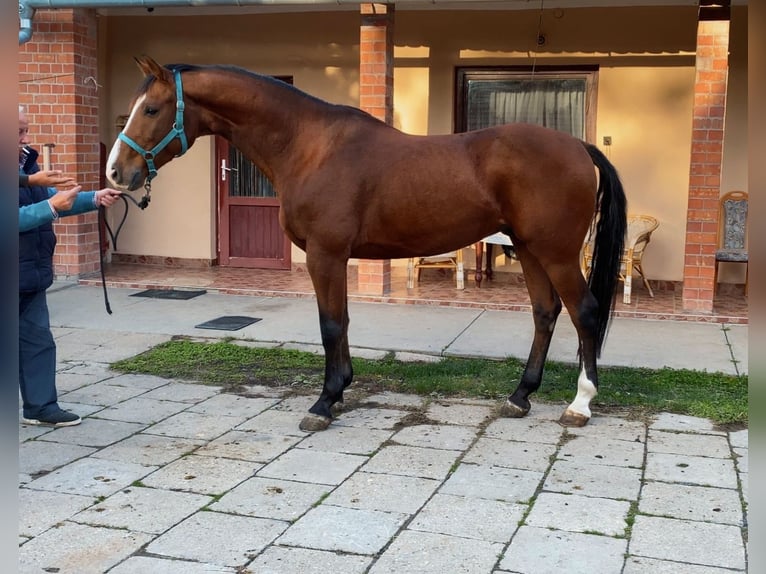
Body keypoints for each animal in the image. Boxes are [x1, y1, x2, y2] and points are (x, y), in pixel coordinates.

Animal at [105, 58, 628, 434]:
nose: (116, 172)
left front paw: (323, 402)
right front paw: (339, 392)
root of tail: (578, 146)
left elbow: (331, 325)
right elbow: (342, 322)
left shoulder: (325, 254)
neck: (309, 146)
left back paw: (580, 404)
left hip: (555, 252)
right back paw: (520, 397)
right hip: (529, 248)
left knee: (583, 311)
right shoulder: (334, 257)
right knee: (545, 312)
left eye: (150, 109)